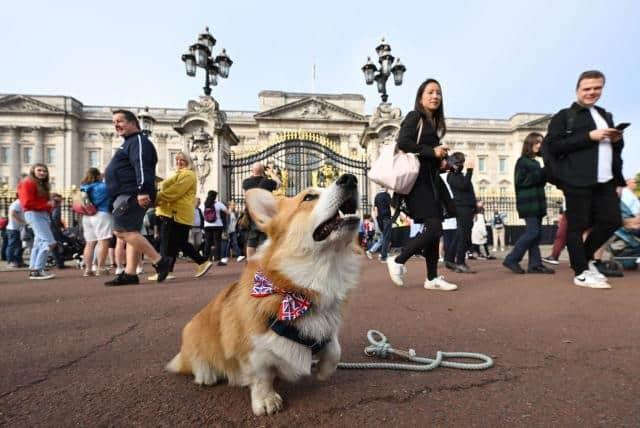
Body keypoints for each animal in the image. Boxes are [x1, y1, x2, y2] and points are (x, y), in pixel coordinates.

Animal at [168, 171, 362, 414]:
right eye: (308, 197)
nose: (350, 178)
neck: (302, 288)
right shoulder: (251, 348)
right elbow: (262, 376)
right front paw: (266, 401)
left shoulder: (328, 327)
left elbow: (335, 348)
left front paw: (323, 371)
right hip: (193, 333)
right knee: (195, 361)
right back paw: (206, 375)